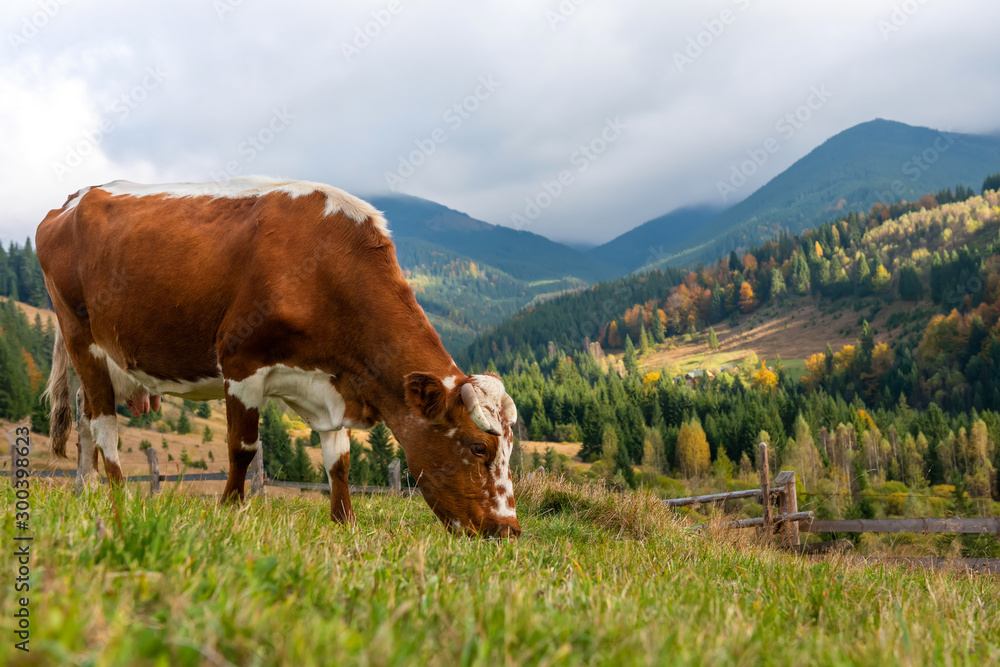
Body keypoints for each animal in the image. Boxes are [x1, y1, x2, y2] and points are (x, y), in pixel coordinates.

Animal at [37, 177, 524, 536]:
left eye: (510, 449)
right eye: (479, 447)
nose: (508, 530)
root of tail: (74, 199)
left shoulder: (331, 382)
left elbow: (339, 460)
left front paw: (344, 522)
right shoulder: (241, 363)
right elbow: (243, 448)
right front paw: (231, 510)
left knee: (85, 418)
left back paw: (86, 491)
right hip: (81, 336)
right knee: (104, 424)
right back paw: (118, 495)